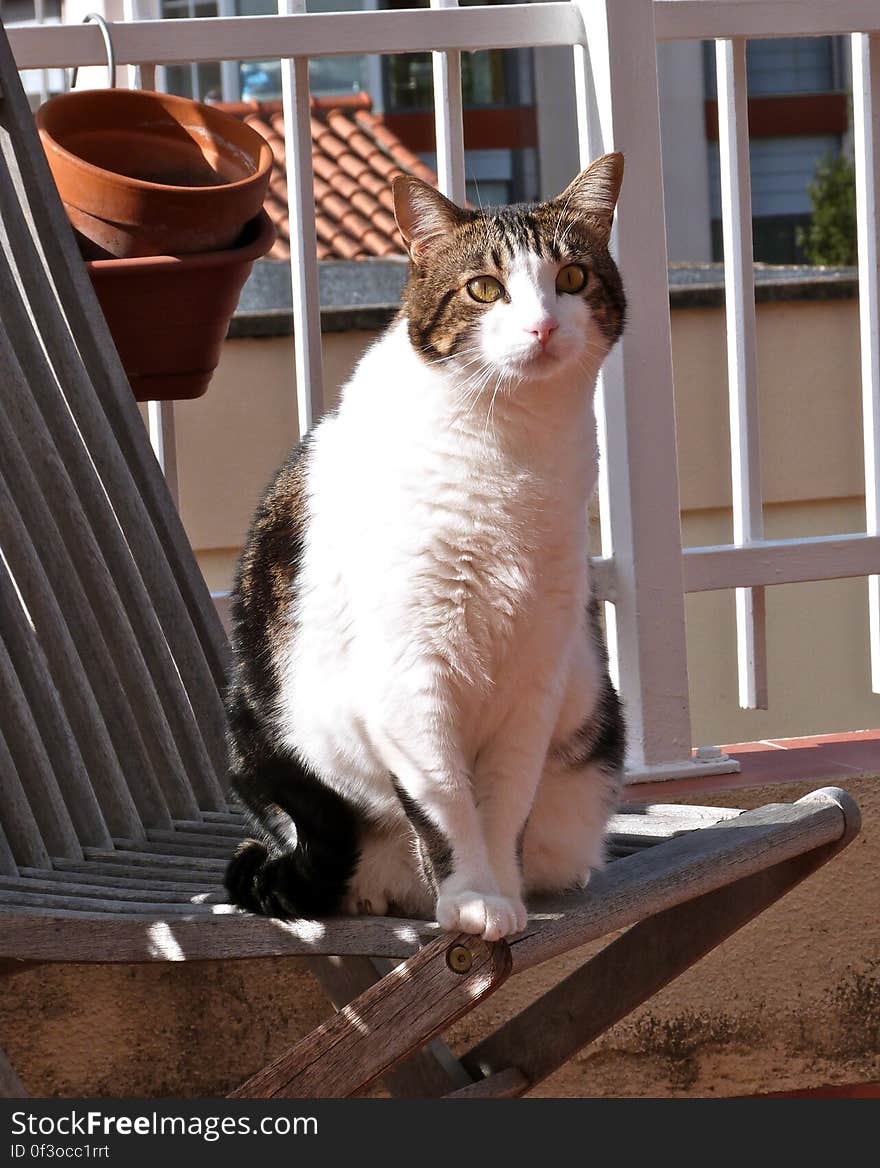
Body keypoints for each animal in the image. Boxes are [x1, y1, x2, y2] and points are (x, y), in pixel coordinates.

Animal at [223, 153, 626, 939]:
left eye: (571, 278)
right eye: (484, 288)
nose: (541, 327)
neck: (510, 447)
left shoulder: (538, 666)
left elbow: (504, 801)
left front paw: (504, 891)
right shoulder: (409, 670)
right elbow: (443, 800)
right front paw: (472, 899)